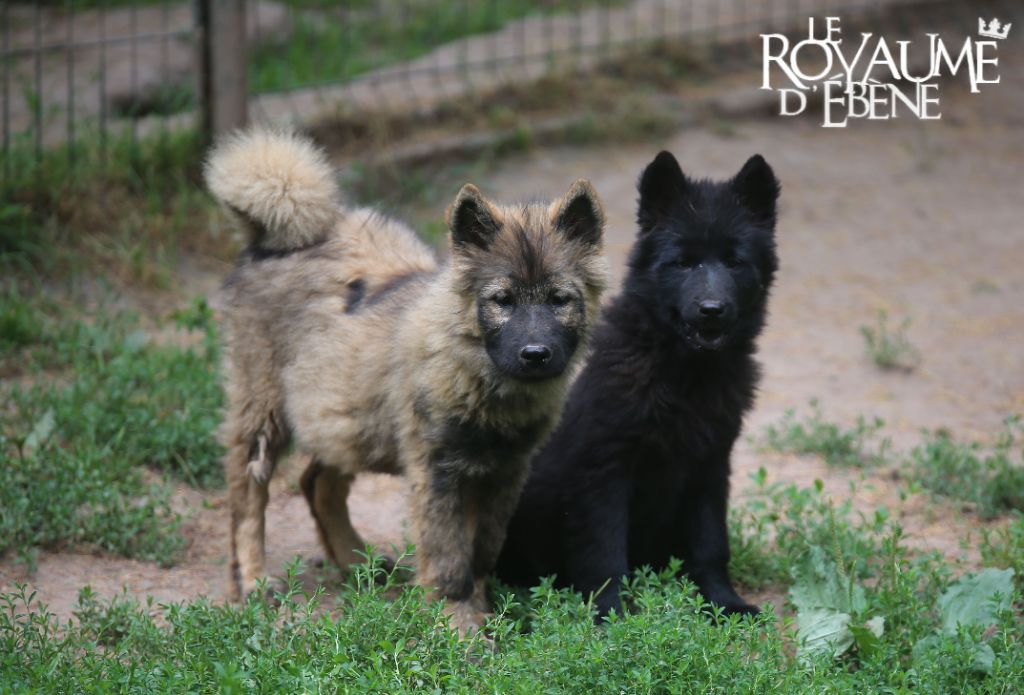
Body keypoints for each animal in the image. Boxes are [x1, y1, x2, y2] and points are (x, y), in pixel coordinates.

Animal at [493, 149, 774, 618]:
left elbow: (711, 545)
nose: (711, 309)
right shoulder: (604, 473)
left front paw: (723, 604)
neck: (682, 374)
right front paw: (611, 616)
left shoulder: (710, 467)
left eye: (735, 262)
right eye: (684, 262)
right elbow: (605, 555)